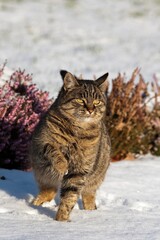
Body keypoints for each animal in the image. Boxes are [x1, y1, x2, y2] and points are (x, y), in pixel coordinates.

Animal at [29, 70, 110, 222]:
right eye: (80, 100)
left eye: (97, 102)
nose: (90, 110)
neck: (77, 132)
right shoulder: (41, 143)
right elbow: (53, 150)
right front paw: (62, 165)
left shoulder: (80, 169)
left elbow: (70, 196)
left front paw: (62, 220)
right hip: (42, 172)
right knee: (48, 191)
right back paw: (35, 203)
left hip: (95, 177)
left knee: (88, 195)